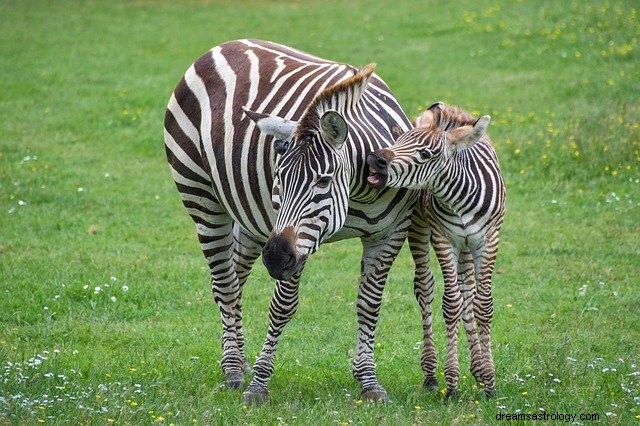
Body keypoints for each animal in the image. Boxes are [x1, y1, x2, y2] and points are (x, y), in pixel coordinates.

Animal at [162, 40, 438, 402]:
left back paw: (235, 359)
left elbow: (369, 304)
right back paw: (235, 369)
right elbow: (282, 307)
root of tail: (225, 45)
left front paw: (368, 381)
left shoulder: (390, 233)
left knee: (235, 277)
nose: (276, 258)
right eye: (279, 178)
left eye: (323, 180)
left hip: (252, 220)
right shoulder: (294, 241)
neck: (360, 192)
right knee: (224, 284)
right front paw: (259, 385)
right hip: (202, 197)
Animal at [364, 102, 504, 396]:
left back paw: (477, 368)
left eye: (426, 153)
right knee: (425, 286)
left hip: (467, 245)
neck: (460, 198)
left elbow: (482, 305)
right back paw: (430, 374)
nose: (374, 160)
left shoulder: (489, 239)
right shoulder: (443, 237)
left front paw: (489, 380)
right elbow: (451, 304)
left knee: (467, 289)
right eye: (397, 142)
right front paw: (451, 383)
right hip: (419, 225)